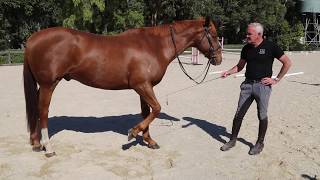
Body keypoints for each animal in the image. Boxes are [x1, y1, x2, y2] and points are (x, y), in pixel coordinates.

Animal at [23, 17, 221, 157]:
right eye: (214, 35)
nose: (218, 59)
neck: (154, 46)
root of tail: (33, 38)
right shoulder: (141, 85)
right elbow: (156, 109)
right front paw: (133, 133)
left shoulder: (144, 87)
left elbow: (146, 112)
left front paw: (149, 140)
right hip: (49, 84)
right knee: (42, 112)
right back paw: (48, 148)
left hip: (43, 86)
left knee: (35, 110)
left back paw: (36, 143)